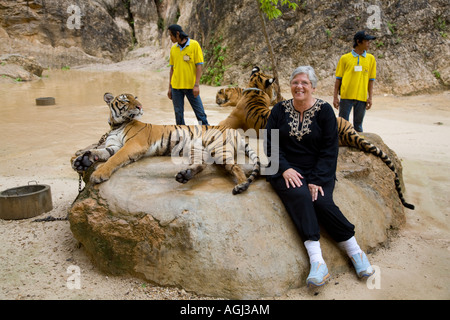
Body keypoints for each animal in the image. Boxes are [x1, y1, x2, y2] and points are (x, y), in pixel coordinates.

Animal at [71, 91, 260, 194]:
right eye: (125, 100)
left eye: (136, 98)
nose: (140, 106)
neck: (117, 124)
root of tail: (233, 131)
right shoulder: (113, 146)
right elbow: (100, 152)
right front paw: (81, 160)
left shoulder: (132, 145)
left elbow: (114, 159)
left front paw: (98, 173)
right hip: (197, 148)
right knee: (202, 164)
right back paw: (185, 175)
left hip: (217, 148)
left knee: (236, 167)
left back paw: (241, 186)